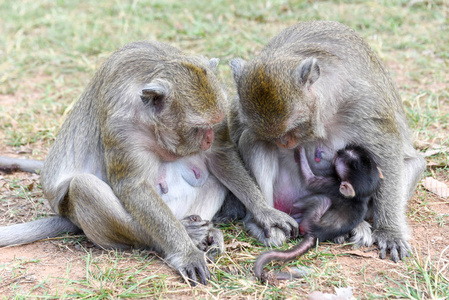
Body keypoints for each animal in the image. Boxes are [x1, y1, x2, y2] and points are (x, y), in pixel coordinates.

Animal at [0, 40, 298, 286]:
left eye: (214, 124)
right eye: (197, 128)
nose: (209, 137)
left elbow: (221, 157)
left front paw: (265, 212)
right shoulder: (120, 124)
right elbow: (133, 185)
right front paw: (186, 253)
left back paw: (209, 233)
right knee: (84, 186)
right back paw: (186, 235)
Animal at [229, 19, 426, 262]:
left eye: (294, 128)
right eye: (274, 135)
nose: (284, 143)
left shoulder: (363, 102)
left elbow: (386, 150)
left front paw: (390, 232)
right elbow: (250, 138)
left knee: (412, 164)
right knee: (254, 142)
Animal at [252, 144, 382, 280]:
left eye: (340, 157)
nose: (339, 150)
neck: (360, 196)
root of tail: (316, 235)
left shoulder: (333, 184)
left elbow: (310, 181)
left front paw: (301, 150)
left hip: (310, 220)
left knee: (323, 200)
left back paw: (296, 208)